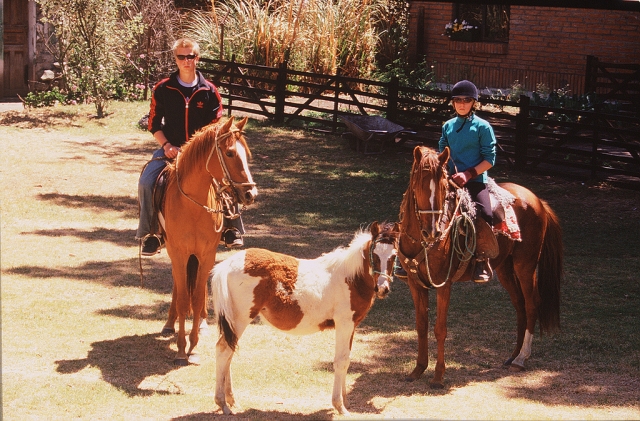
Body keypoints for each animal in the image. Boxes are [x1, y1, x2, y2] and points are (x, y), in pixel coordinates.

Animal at [160, 116, 258, 365]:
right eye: (230, 153)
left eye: (246, 154)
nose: (251, 194)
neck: (193, 205)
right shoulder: (179, 253)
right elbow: (183, 298)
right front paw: (181, 349)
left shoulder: (206, 254)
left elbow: (196, 297)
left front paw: (193, 346)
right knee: (178, 285)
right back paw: (169, 323)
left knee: (198, 289)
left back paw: (202, 322)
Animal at [210, 221, 400, 416]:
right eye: (374, 255)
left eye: (394, 255)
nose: (383, 289)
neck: (350, 277)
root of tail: (226, 265)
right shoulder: (344, 324)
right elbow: (340, 361)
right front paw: (339, 406)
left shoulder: (352, 326)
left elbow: (347, 359)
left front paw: (345, 401)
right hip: (239, 319)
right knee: (223, 350)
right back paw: (222, 403)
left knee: (229, 352)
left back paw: (231, 400)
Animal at [397, 145, 563, 388]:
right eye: (418, 184)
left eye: (445, 188)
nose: (433, 231)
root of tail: (537, 200)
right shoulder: (415, 284)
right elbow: (421, 325)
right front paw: (418, 369)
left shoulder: (444, 284)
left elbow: (440, 329)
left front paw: (438, 376)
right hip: (505, 269)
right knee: (520, 305)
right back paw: (513, 355)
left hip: (526, 264)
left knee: (532, 304)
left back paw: (521, 358)